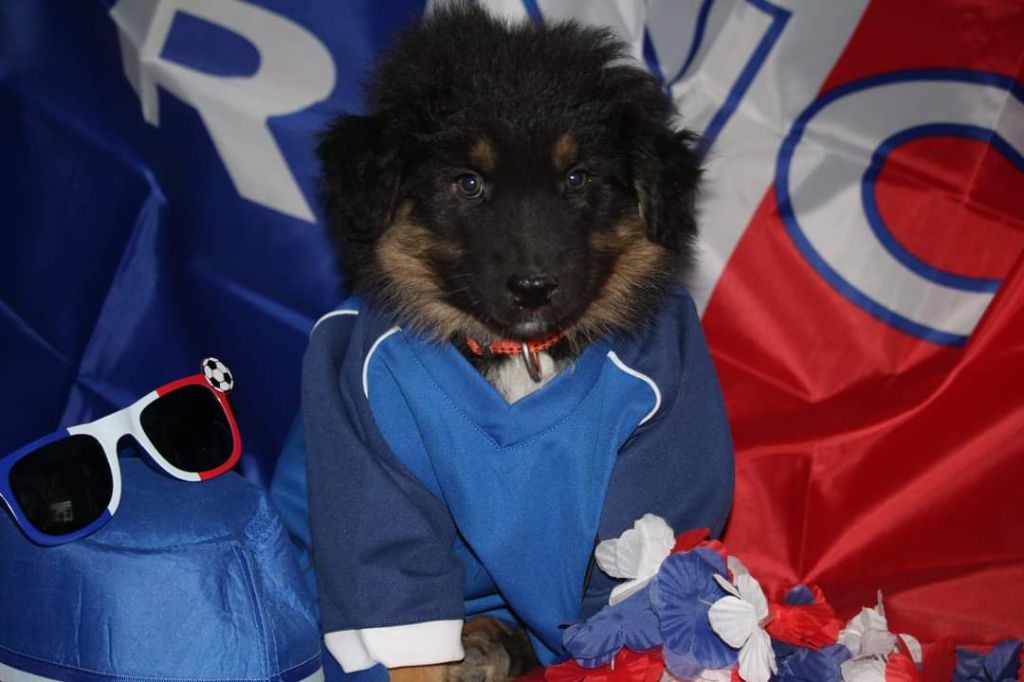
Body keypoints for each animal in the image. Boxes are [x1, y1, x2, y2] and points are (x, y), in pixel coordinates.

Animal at [304, 3, 734, 681]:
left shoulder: (660, 444)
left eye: (577, 178)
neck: (520, 355)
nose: (533, 289)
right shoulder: (364, 442)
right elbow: (398, 608)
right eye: (468, 183)